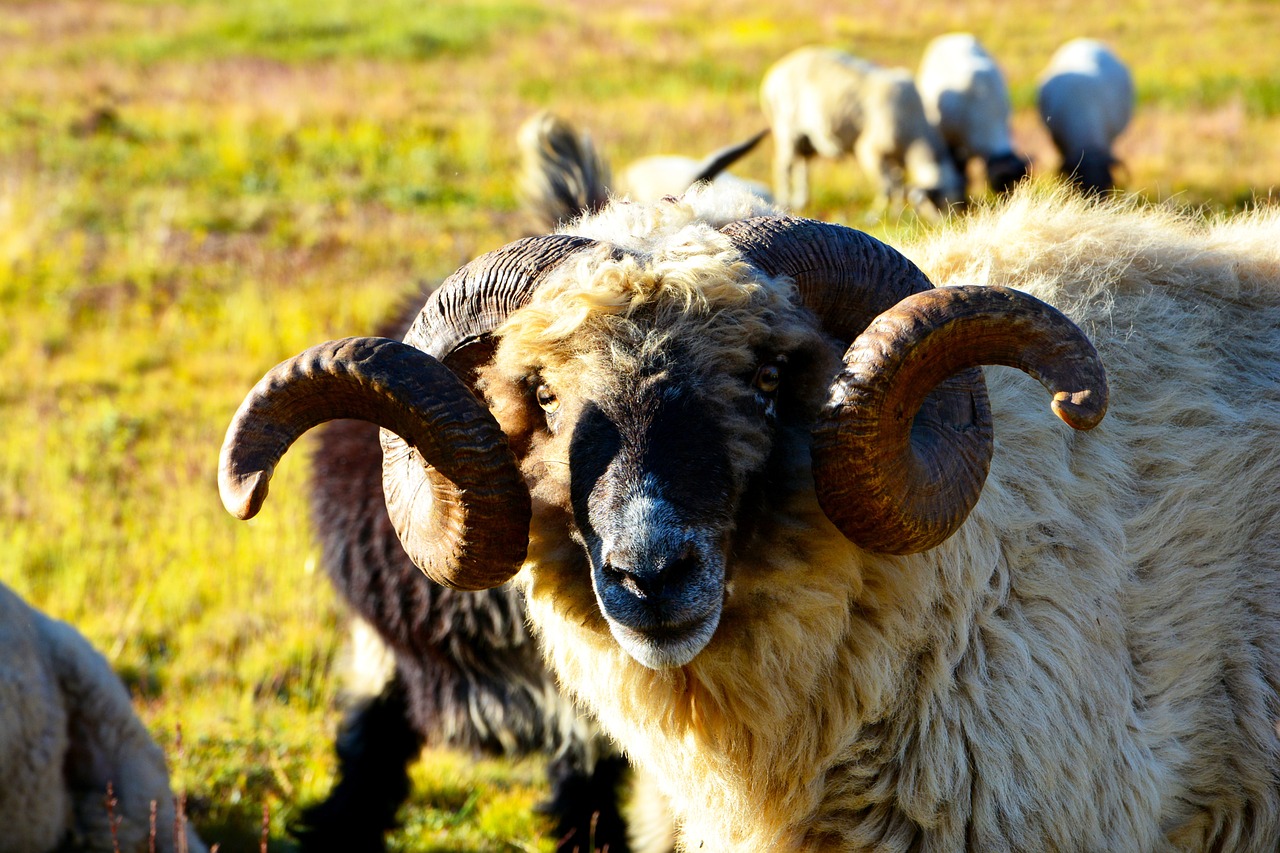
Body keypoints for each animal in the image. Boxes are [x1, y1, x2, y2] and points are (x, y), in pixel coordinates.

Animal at [757, 46, 962, 219]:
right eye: (938, 204)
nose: (949, 223)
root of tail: (775, 73)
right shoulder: (870, 152)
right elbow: (887, 188)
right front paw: (877, 214)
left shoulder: (895, 157)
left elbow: (898, 185)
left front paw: (896, 212)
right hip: (786, 128)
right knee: (784, 166)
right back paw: (784, 201)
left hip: (807, 137)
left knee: (802, 163)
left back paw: (801, 201)